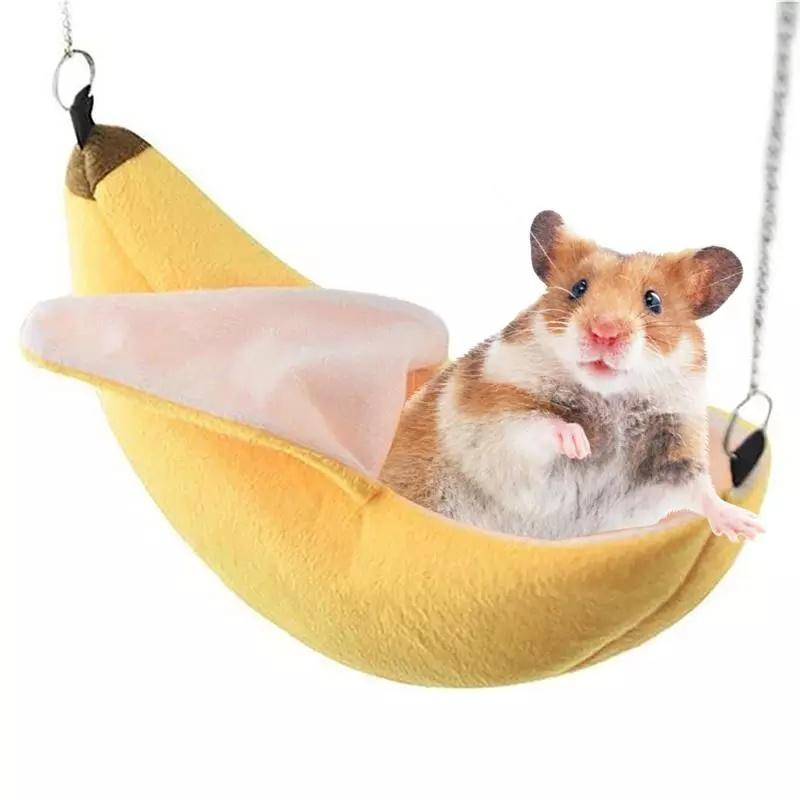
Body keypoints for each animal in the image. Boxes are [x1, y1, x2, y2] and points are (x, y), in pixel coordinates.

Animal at [380, 210, 764, 541]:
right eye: (578, 288)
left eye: (653, 301)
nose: (605, 333)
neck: (611, 398)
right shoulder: (494, 408)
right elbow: (538, 422)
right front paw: (580, 443)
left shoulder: (676, 449)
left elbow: (700, 490)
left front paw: (748, 527)